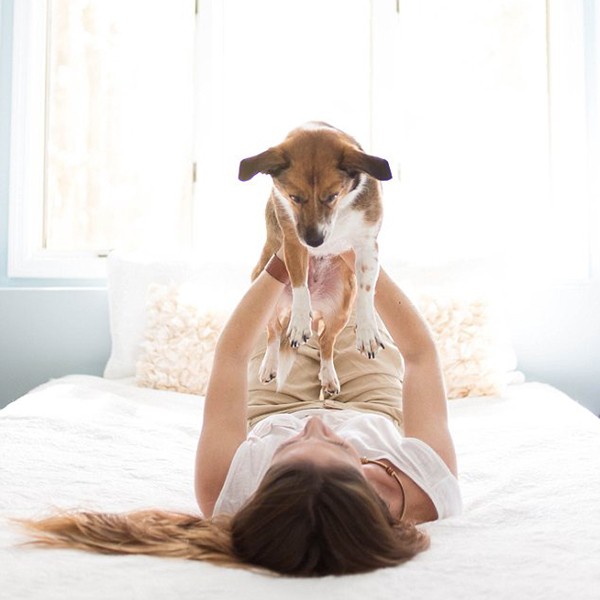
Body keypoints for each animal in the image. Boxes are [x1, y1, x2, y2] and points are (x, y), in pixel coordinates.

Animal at [239, 122, 392, 398]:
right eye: (294, 197)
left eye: (332, 196)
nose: (315, 241)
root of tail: (319, 304)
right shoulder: (292, 242)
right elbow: (300, 284)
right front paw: (300, 321)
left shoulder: (367, 245)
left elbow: (367, 291)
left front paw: (366, 330)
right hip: (266, 297)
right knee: (273, 333)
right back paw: (269, 364)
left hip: (340, 310)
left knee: (325, 343)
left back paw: (328, 376)